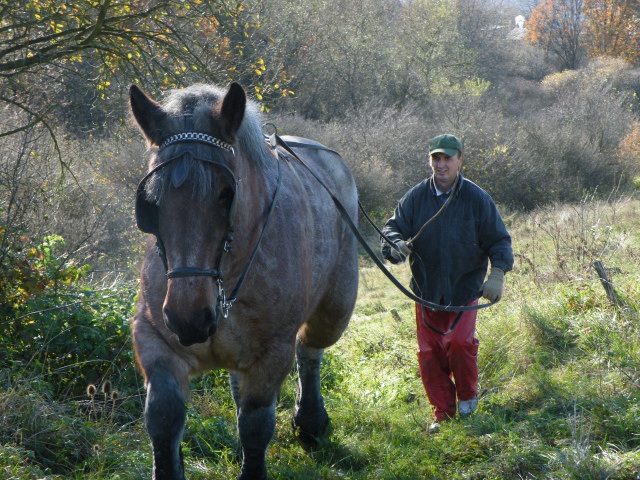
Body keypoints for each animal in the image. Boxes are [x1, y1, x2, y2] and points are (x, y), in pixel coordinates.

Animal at [129, 83, 360, 480]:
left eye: (227, 194)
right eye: (151, 201)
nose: (189, 318)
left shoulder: (272, 353)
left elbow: (255, 425)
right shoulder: (155, 338)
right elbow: (164, 415)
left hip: (336, 308)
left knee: (311, 350)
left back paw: (311, 421)